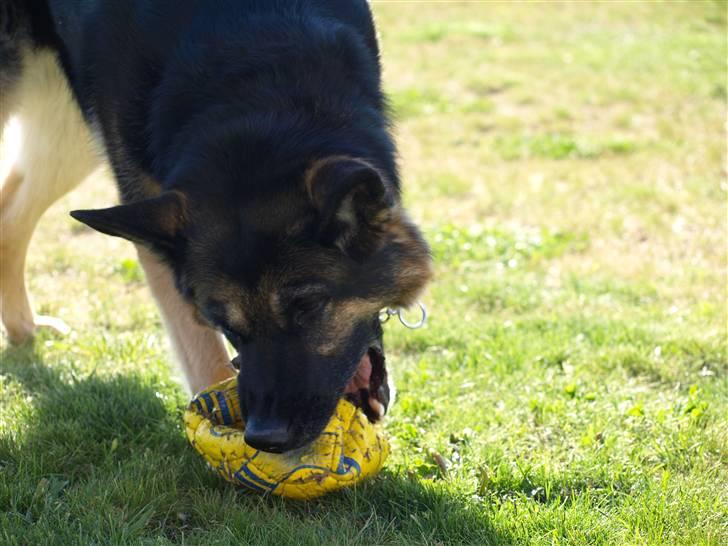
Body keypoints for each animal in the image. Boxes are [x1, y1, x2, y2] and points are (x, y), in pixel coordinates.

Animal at [0, 0, 430, 450]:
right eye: (223, 323)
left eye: (308, 308)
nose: (265, 437)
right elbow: (206, 357)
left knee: (10, 210)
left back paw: (23, 328)